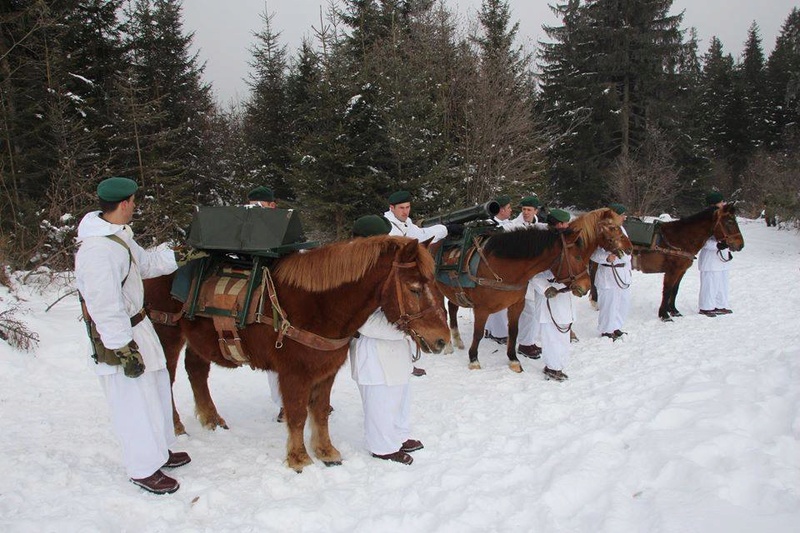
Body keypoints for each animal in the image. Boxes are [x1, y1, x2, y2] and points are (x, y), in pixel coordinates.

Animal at [144, 235, 450, 472]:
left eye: (435, 284)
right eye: (414, 289)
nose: (442, 340)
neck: (318, 306)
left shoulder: (326, 371)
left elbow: (321, 411)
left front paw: (326, 451)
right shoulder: (294, 373)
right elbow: (298, 414)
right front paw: (299, 458)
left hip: (201, 339)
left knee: (196, 370)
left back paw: (211, 419)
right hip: (167, 334)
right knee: (168, 379)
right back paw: (176, 426)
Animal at [434, 208, 628, 370]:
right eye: (577, 256)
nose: (585, 285)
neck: (502, 267)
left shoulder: (516, 305)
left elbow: (514, 331)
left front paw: (513, 359)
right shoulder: (482, 309)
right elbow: (478, 334)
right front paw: (474, 359)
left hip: (454, 291)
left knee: (452, 308)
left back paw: (457, 339)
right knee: (444, 312)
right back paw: (449, 345)